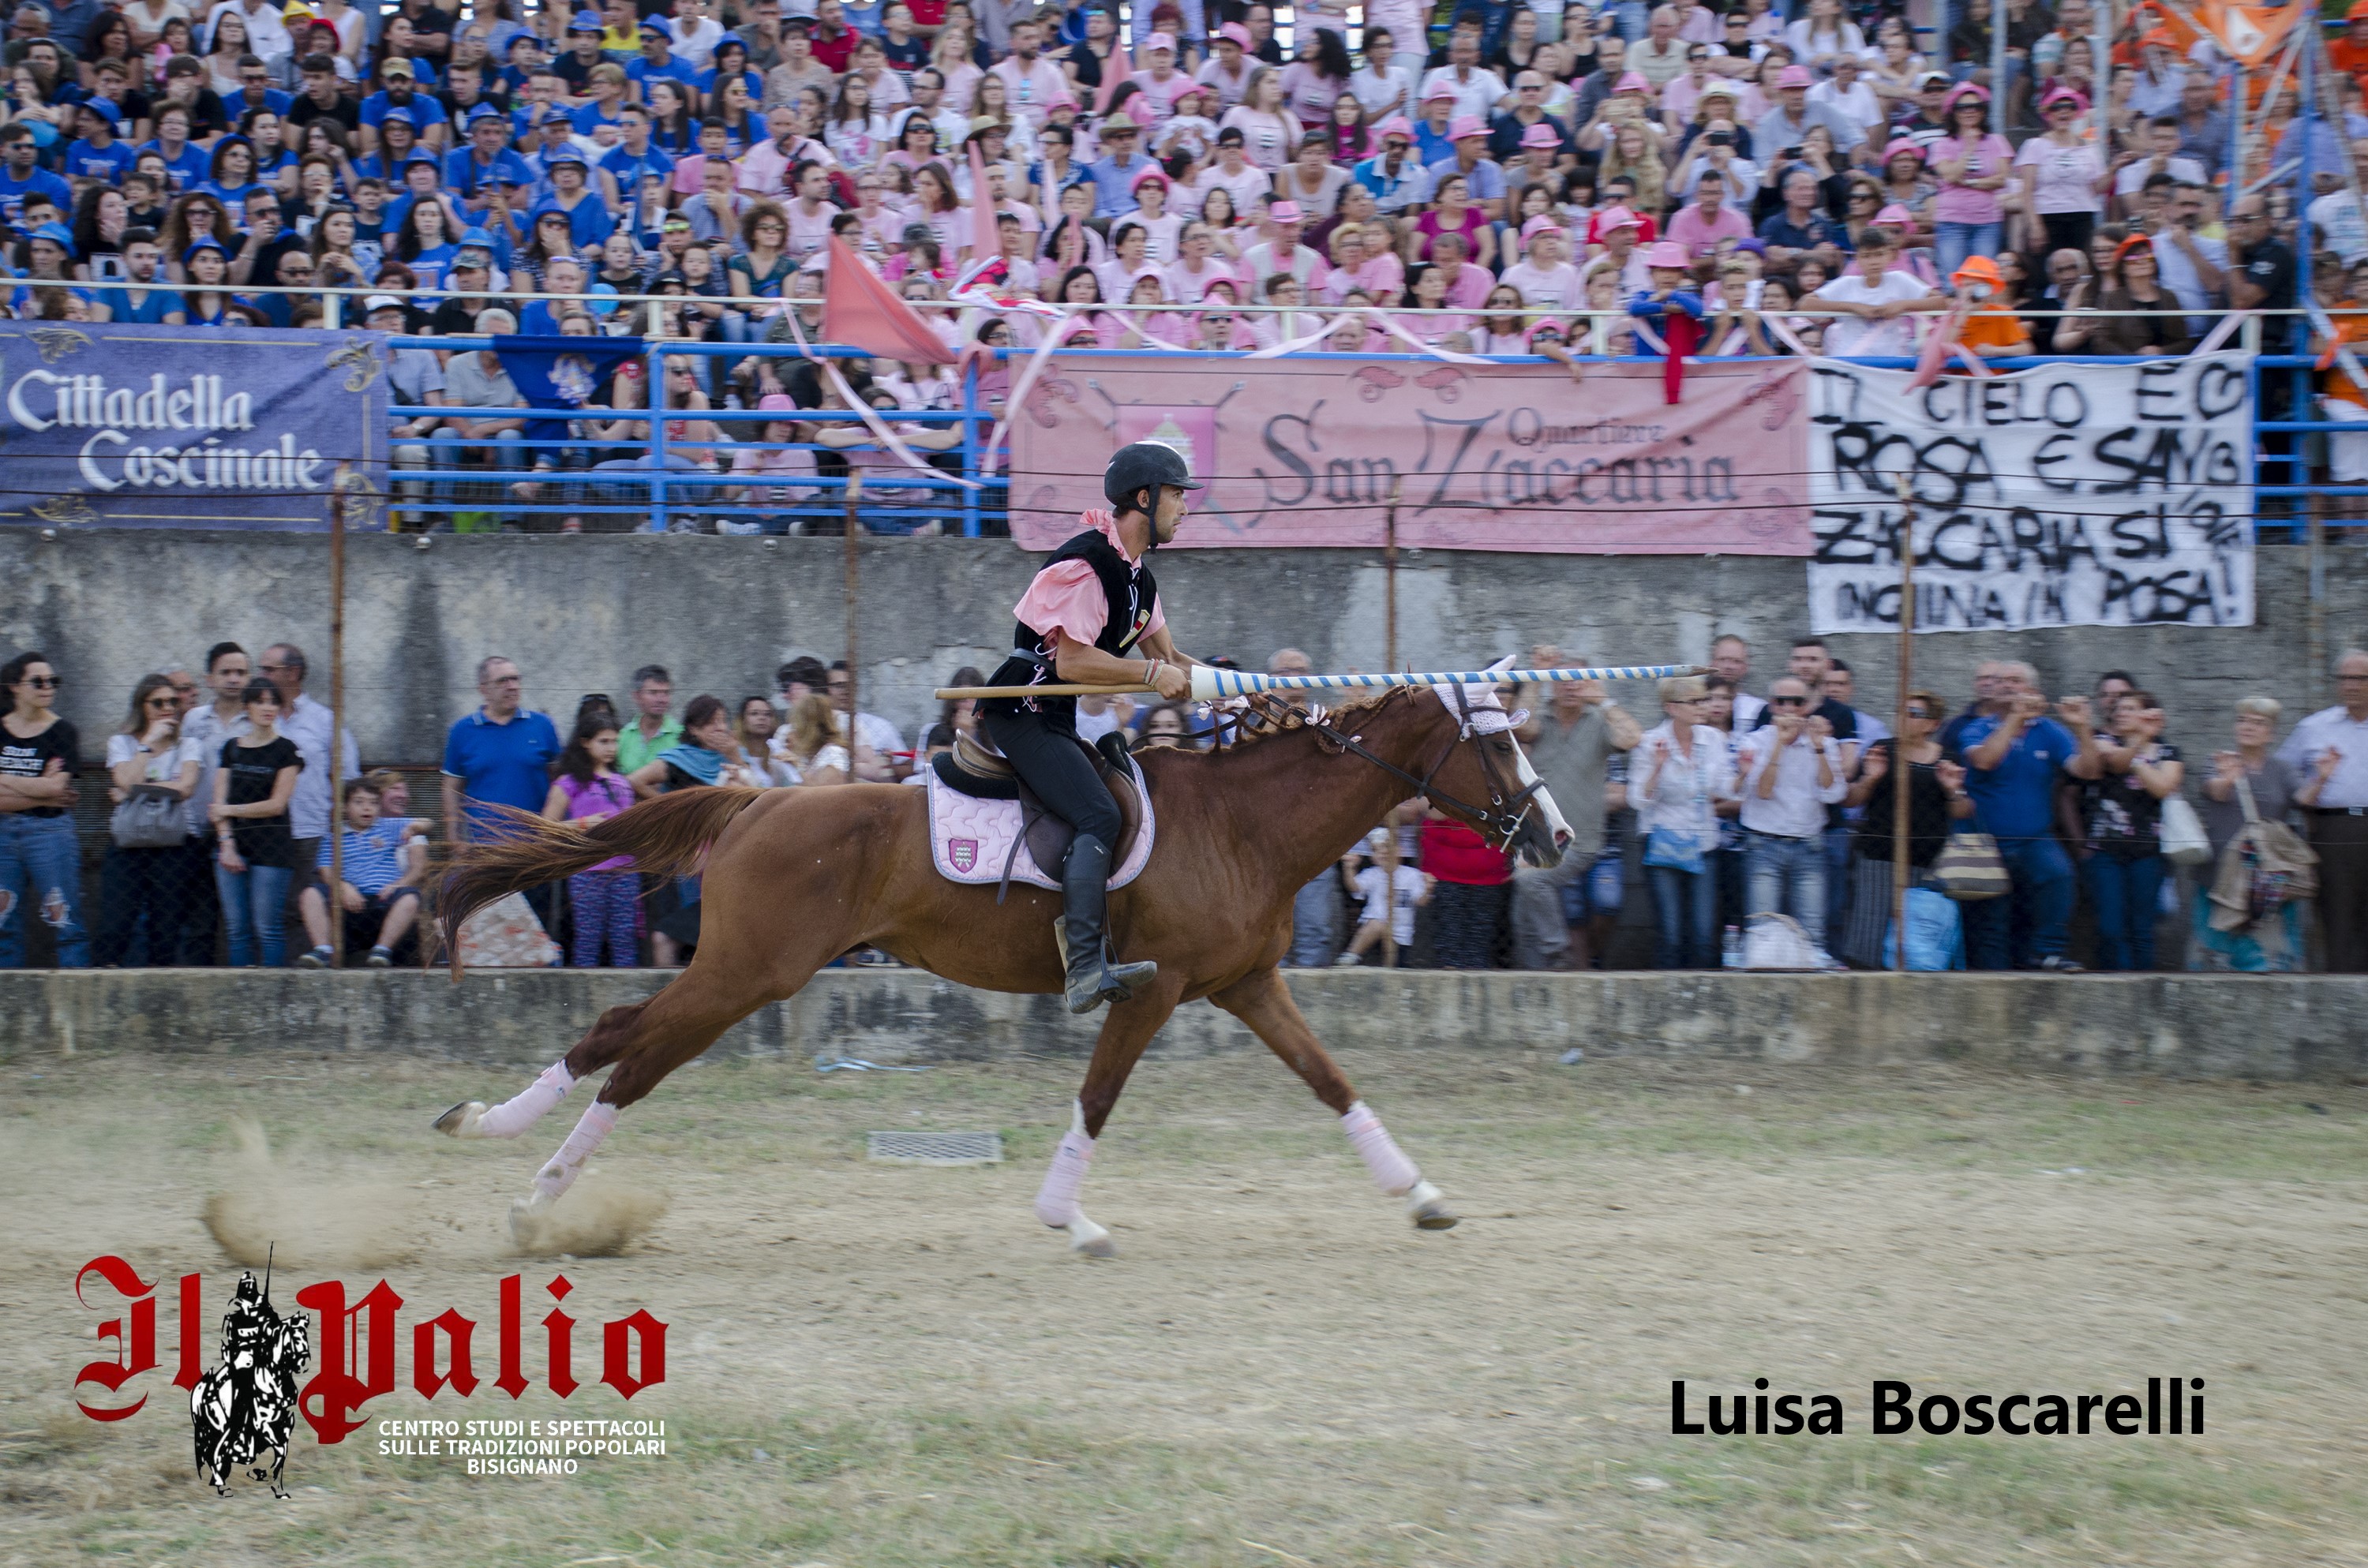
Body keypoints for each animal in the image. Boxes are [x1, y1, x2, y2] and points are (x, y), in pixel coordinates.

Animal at [440, 677, 1572, 1269]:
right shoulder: (1153, 986)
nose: (1558, 836)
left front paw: (1419, 1191)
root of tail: (758, 798)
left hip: (739, 972)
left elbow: (1332, 1079)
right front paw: (1070, 1216)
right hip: (745, 974)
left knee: (620, 1037)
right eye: (1500, 746)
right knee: (631, 1054)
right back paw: (523, 1177)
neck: (1242, 822)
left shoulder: (1249, 985)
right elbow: (1099, 1096)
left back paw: (514, 1161)